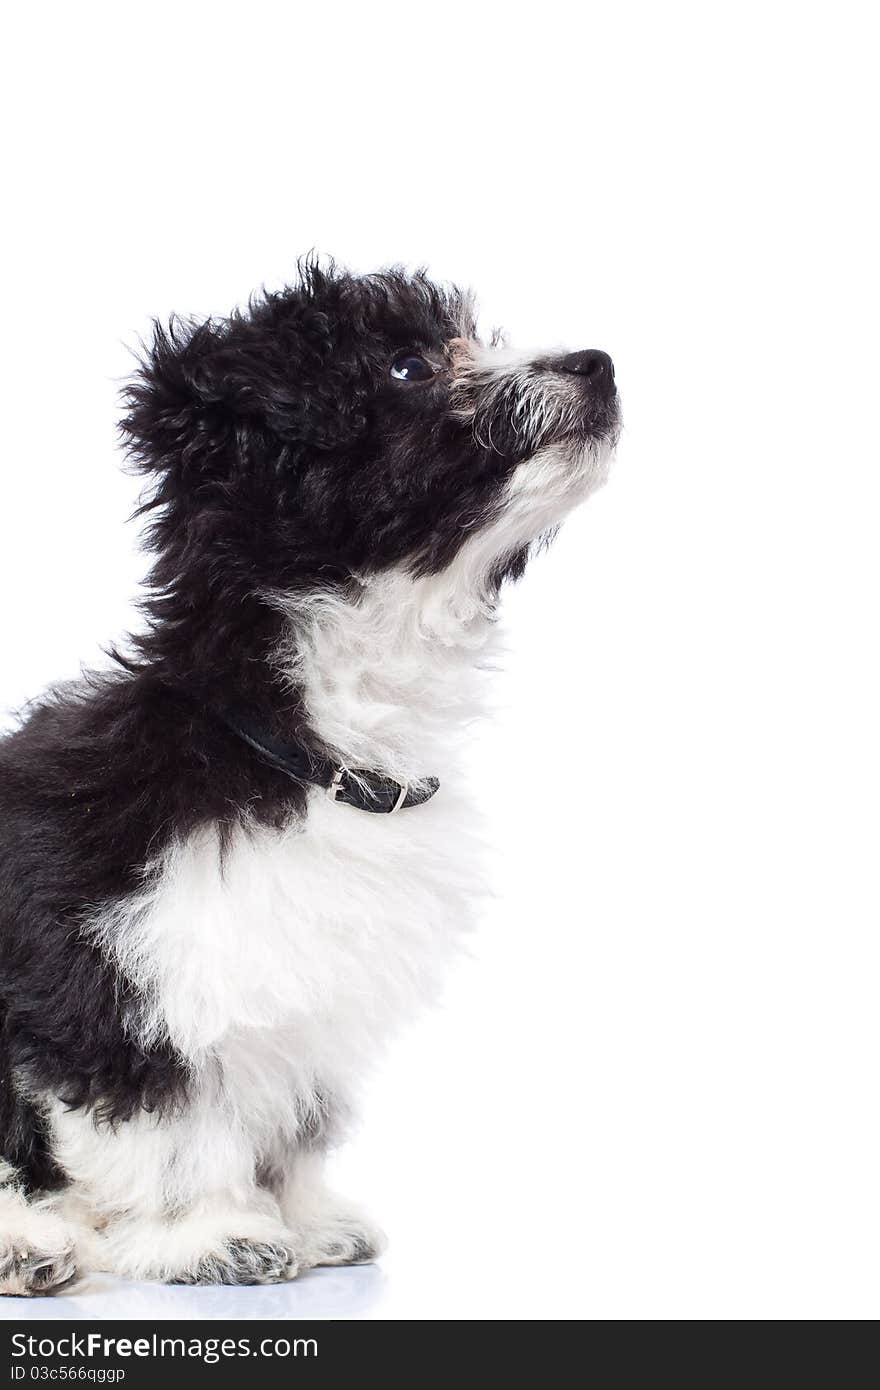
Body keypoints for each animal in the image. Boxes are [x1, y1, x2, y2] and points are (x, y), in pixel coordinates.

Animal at [0, 262, 617, 1289]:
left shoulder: (303, 981)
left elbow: (293, 1107)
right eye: (408, 366)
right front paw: (209, 1231)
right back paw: (27, 1243)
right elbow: (167, 1115)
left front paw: (303, 1215)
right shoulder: (115, 976)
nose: (597, 363)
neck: (295, 743)